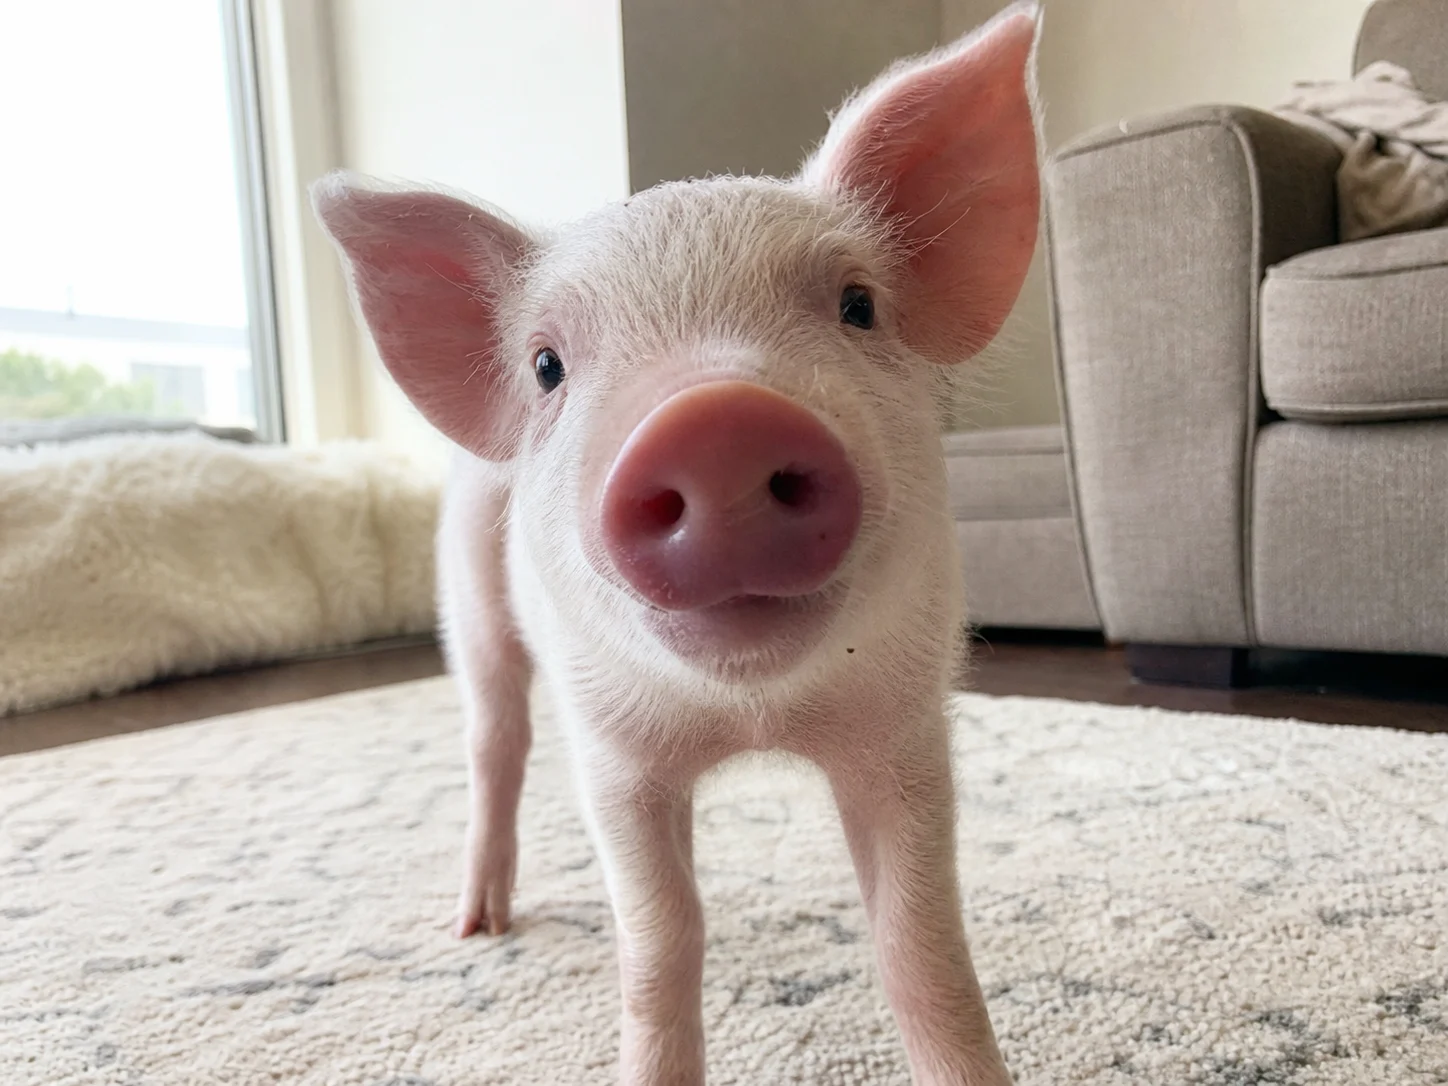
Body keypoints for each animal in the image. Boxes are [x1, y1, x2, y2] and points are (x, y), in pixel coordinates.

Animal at [313, 6, 1041, 1083]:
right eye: (546, 365)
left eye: (858, 305)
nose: (715, 419)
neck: (753, 717)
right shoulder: (613, 751)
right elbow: (660, 944)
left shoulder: (903, 723)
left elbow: (922, 949)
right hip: (468, 598)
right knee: (494, 739)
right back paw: (479, 926)